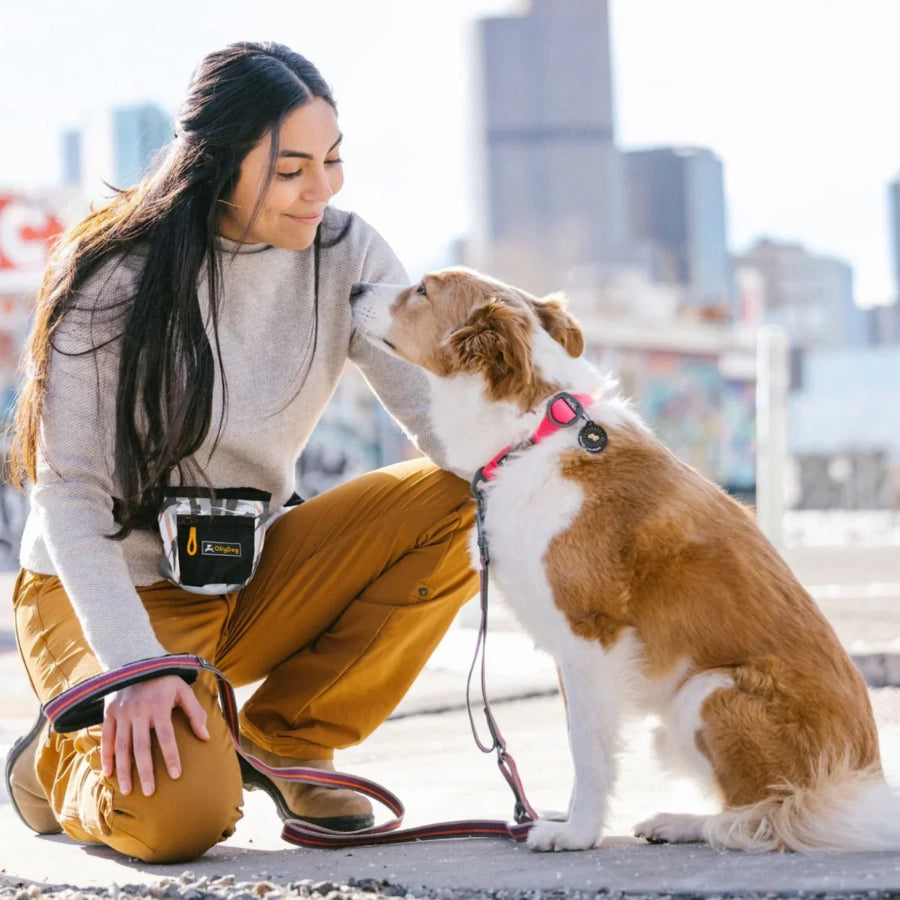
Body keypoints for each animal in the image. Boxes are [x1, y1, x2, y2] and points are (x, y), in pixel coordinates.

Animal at [348, 266, 896, 852]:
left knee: (768, 814)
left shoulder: (591, 636)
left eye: (422, 291)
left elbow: (588, 750)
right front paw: (566, 818)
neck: (533, 431)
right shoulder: (571, 650)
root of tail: (860, 777)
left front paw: (578, 833)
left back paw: (685, 822)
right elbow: (579, 739)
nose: (353, 289)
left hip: (707, 692)